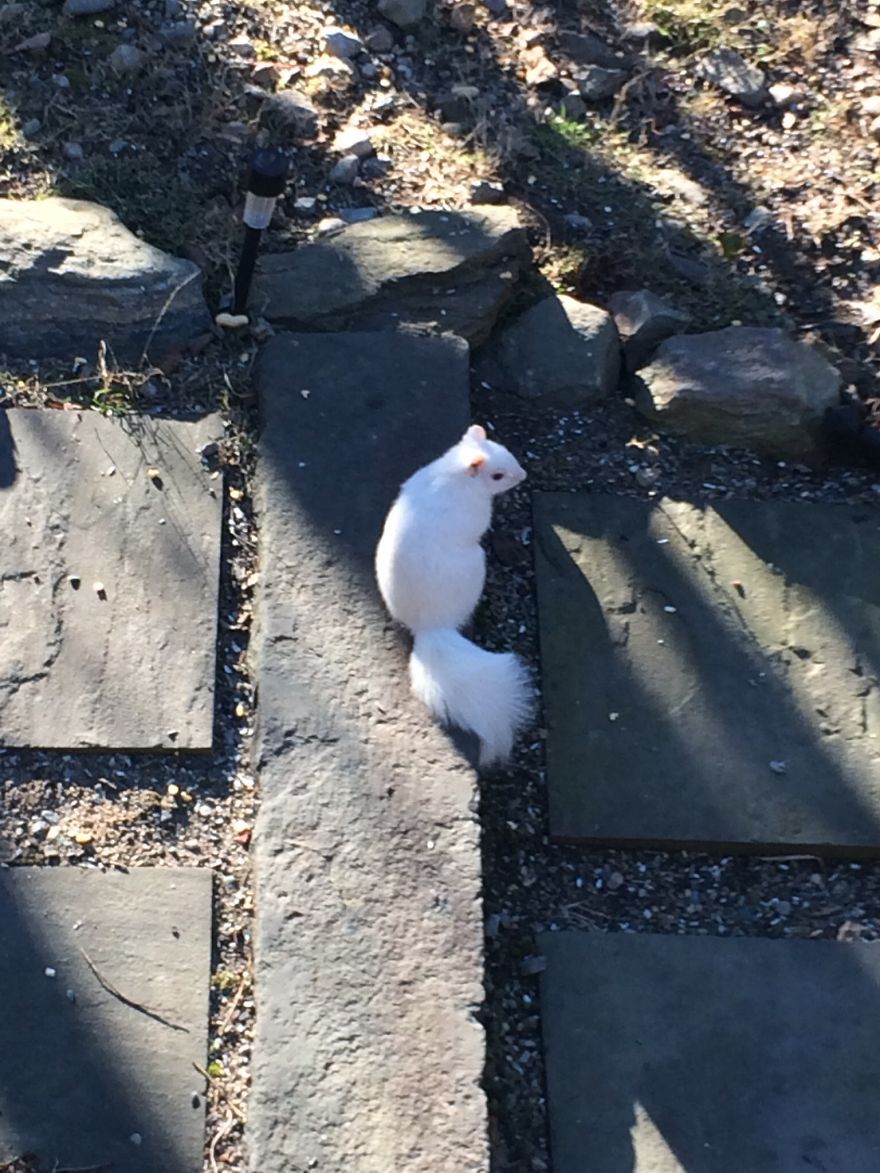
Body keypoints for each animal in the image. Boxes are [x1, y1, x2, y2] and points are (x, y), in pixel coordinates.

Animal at [375, 423, 531, 767]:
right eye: (497, 476)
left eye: (505, 449)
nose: (523, 475)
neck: (454, 474)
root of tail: (431, 627)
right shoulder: (475, 512)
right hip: (477, 565)